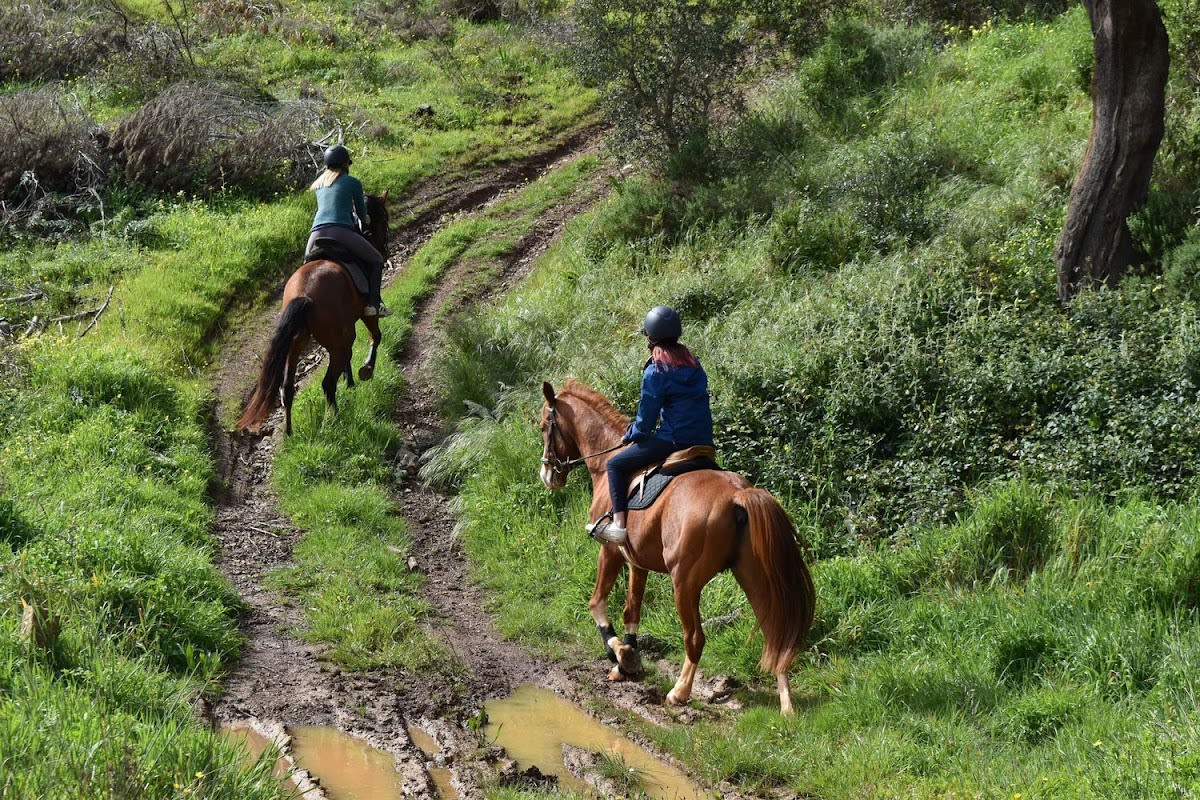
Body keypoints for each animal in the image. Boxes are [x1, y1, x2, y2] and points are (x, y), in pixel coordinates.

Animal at [237, 192, 390, 436]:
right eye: (384, 219)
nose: (384, 251)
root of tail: (304, 294)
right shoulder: (366, 314)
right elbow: (375, 336)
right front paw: (365, 370)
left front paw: (351, 382)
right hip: (331, 342)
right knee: (327, 383)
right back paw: (336, 421)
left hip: (296, 343)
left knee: (287, 388)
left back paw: (289, 433)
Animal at [538, 380, 816, 715]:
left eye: (544, 426)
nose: (547, 475)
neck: (606, 462)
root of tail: (739, 494)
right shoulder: (637, 562)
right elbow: (632, 610)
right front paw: (626, 661)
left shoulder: (611, 551)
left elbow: (597, 603)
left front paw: (618, 653)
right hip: (753, 576)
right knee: (775, 628)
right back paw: (786, 702)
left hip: (684, 581)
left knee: (695, 638)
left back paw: (679, 692)